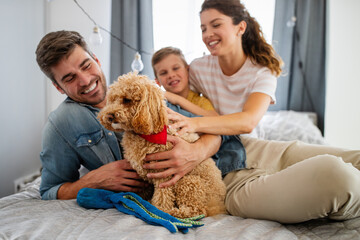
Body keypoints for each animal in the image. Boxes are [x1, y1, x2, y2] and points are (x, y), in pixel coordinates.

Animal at [97, 72, 225, 218]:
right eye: (112, 99)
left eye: (127, 100)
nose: (109, 116)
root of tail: (219, 204)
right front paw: (137, 199)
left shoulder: (163, 176)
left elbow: (162, 197)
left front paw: (158, 209)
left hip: (189, 182)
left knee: (197, 210)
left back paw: (173, 212)